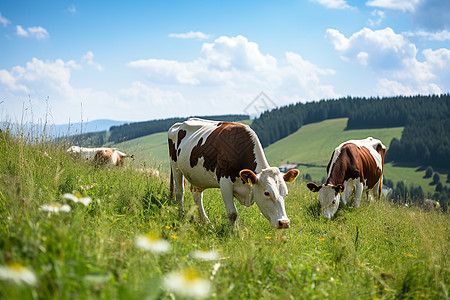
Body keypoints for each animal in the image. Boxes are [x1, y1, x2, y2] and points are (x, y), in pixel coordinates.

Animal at [168, 118, 298, 229]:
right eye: (267, 193)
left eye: (286, 194)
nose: (284, 223)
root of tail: (180, 123)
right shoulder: (225, 181)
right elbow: (232, 213)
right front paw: (233, 233)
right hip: (175, 166)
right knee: (180, 192)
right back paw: (182, 216)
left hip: (197, 177)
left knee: (197, 195)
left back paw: (206, 222)